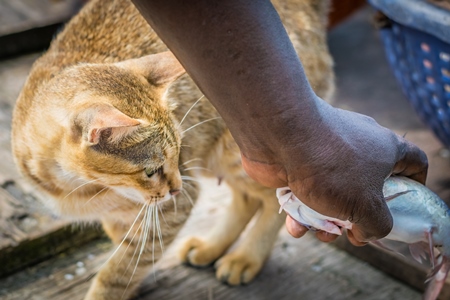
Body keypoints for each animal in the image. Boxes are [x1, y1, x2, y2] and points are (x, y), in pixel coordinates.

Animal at [11, 0, 334, 298]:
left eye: (178, 153)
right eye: (151, 171)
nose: (177, 188)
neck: (74, 187)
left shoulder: (172, 207)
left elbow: (121, 269)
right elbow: (123, 244)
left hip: (241, 153)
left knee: (276, 199)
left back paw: (245, 258)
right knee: (248, 198)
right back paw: (211, 248)